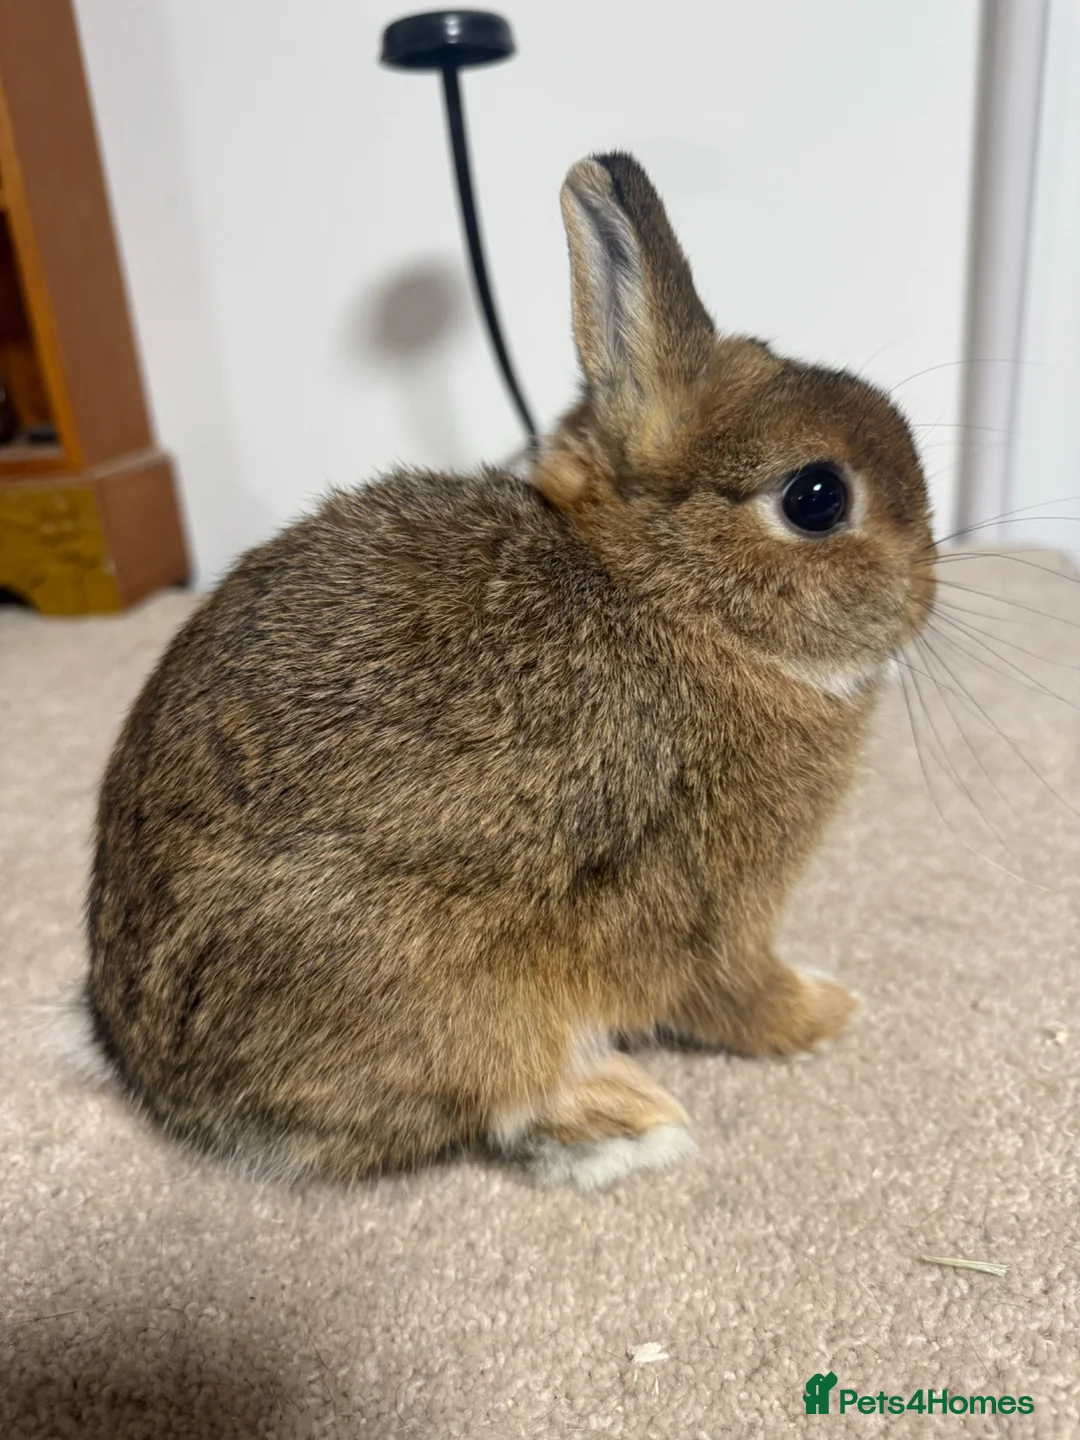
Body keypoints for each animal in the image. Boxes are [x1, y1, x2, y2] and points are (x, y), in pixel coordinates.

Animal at [85, 152, 936, 1190]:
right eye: (817, 497)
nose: (926, 592)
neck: (664, 594)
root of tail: (154, 1080)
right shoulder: (711, 910)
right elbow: (735, 994)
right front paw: (824, 1014)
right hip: (450, 992)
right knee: (495, 1098)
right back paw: (627, 1117)